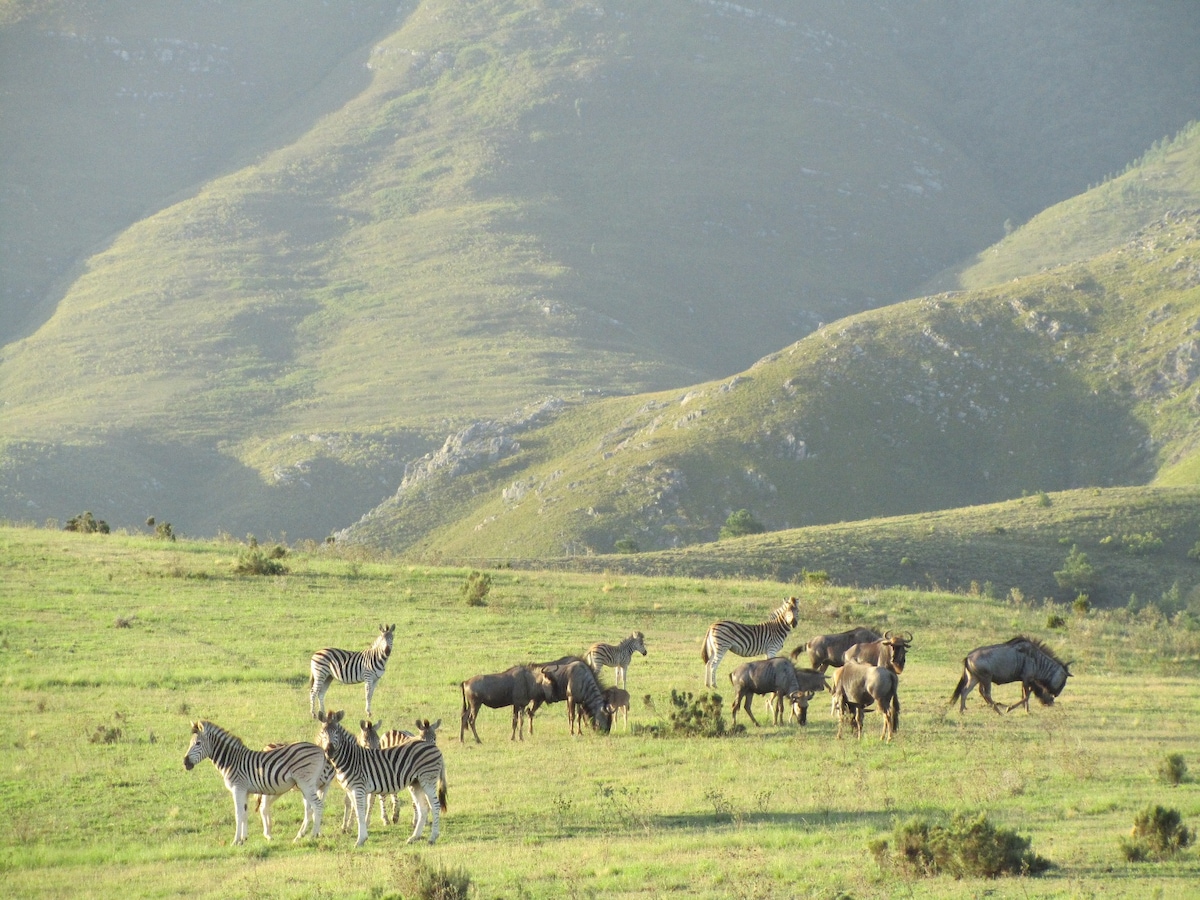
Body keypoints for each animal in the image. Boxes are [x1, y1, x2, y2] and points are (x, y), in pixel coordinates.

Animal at [182, 724, 326, 849]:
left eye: (198, 743)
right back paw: (303, 836)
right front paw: (243, 839)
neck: (231, 761)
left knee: (317, 805)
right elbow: (245, 813)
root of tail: (320, 750)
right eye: (190, 743)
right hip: (308, 784)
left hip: (305, 783)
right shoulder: (245, 791)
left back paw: (313, 836)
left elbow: (238, 814)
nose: (185, 762)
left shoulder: (237, 789)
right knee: (311, 808)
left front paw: (235, 841)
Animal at [316, 710, 448, 849]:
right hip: (415, 783)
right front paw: (357, 834)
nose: (329, 751)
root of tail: (434, 748)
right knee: (423, 807)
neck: (349, 758)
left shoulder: (359, 788)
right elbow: (356, 811)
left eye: (336, 732)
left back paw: (432, 837)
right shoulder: (350, 789)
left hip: (427, 780)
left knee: (435, 805)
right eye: (323, 732)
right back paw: (414, 837)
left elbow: (360, 811)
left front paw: (360, 839)